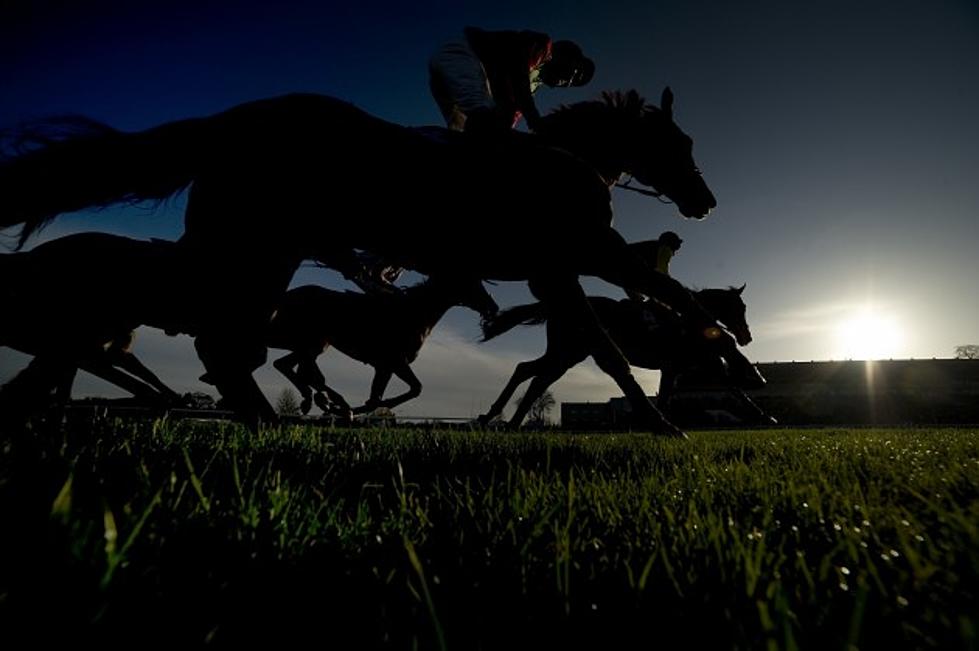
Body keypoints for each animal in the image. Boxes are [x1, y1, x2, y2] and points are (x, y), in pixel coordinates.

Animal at [264, 276, 498, 418]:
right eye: (473, 283)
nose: (493, 307)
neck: (412, 314)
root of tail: (288, 295)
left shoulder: (384, 367)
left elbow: (379, 396)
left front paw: (352, 407)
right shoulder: (394, 362)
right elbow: (414, 389)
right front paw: (351, 408)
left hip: (312, 344)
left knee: (290, 366)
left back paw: (319, 400)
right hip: (309, 342)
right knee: (303, 371)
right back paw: (329, 401)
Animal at [478, 286, 768, 428]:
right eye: (740, 307)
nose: (746, 337)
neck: (688, 322)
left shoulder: (683, 367)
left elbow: (731, 389)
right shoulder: (680, 366)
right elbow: (729, 387)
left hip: (568, 354)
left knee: (528, 372)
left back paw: (500, 418)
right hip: (568, 353)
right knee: (536, 377)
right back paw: (504, 419)